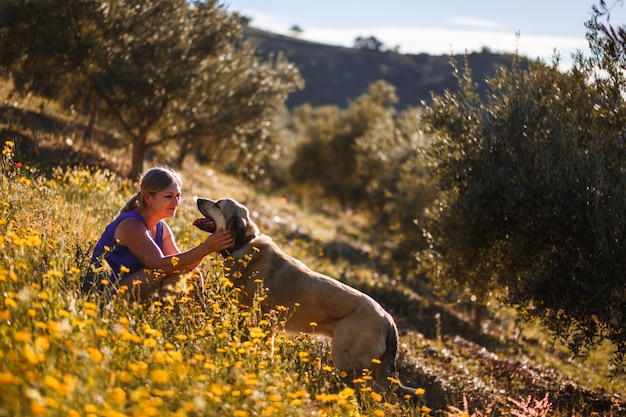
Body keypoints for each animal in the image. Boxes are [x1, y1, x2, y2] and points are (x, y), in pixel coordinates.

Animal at [190, 197, 414, 398]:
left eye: (218, 205)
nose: (198, 199)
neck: (245, 245)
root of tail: (388, 319)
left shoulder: (262, 320)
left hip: (349, 362)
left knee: (371, 393)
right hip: (370, 368)